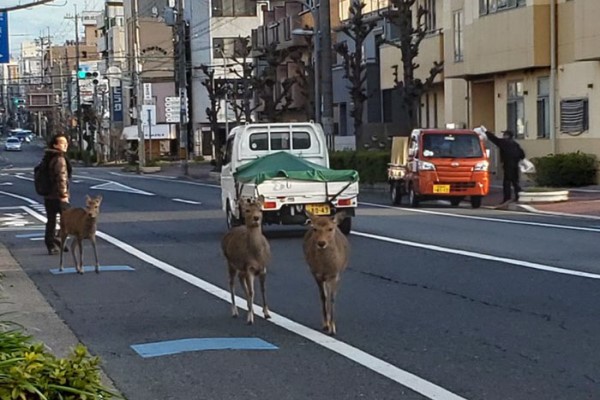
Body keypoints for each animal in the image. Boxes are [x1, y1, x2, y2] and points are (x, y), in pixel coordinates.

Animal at [221, 195, 270, 324]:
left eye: (260, 209)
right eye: (247, 210)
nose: (256, 218)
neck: (256, 255)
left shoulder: (263, 268)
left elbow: (263, 289)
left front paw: (266, 313)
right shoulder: (249, 268)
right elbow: (251, 291)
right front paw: (250, 318)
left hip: (240, 267)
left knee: (240, 279)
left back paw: (249, 308)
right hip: (230, 262)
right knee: (231, 283)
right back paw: (235, 311)